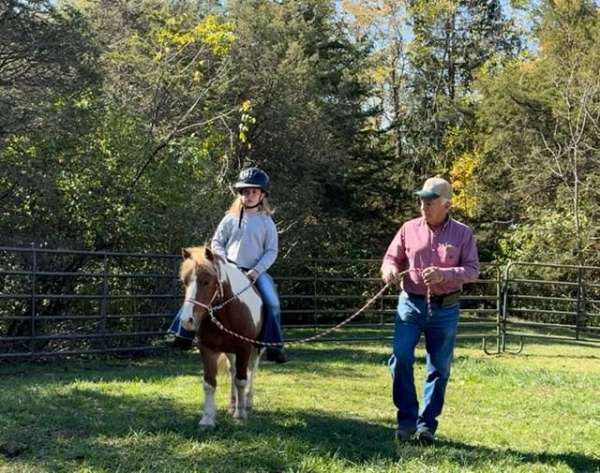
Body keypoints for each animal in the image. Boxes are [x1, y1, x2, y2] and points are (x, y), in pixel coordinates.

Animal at [177, 247, 264, 428]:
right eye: (185, 281)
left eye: (206, 281)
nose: (187, 320)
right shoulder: (207, 349)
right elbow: (209, 384)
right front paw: (207, 419)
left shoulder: (244, 349)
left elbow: (241, 380)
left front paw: (240, 414)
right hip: (230, 352)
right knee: (233, 371)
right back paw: (232, 404)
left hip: (256, 349)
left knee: (251, 371)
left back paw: (247, 403)